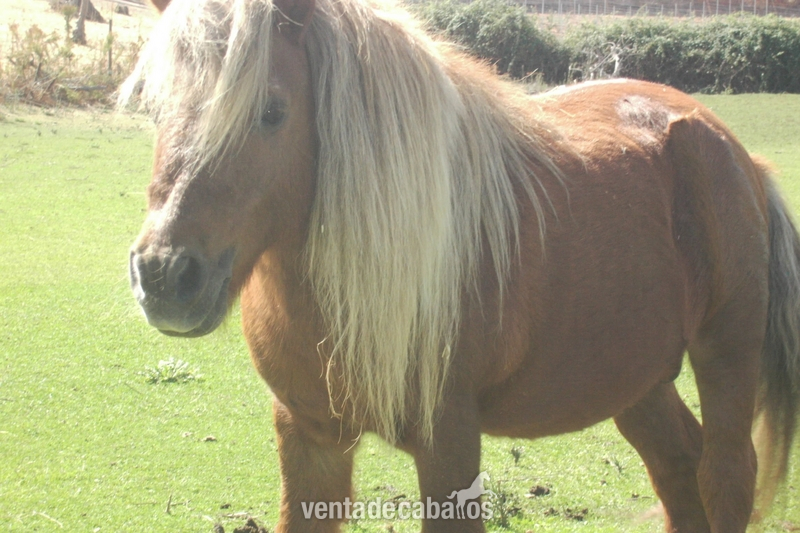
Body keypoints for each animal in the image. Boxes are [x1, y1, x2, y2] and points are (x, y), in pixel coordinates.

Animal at [122, 0, 800, 531]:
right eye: (155, 109)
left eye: (271, 110)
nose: (164, 276)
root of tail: (739, 154)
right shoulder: (308, 438)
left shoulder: (447, 440)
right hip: (636, 379)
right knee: (679, 470)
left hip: (725, 355)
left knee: (725, 477)